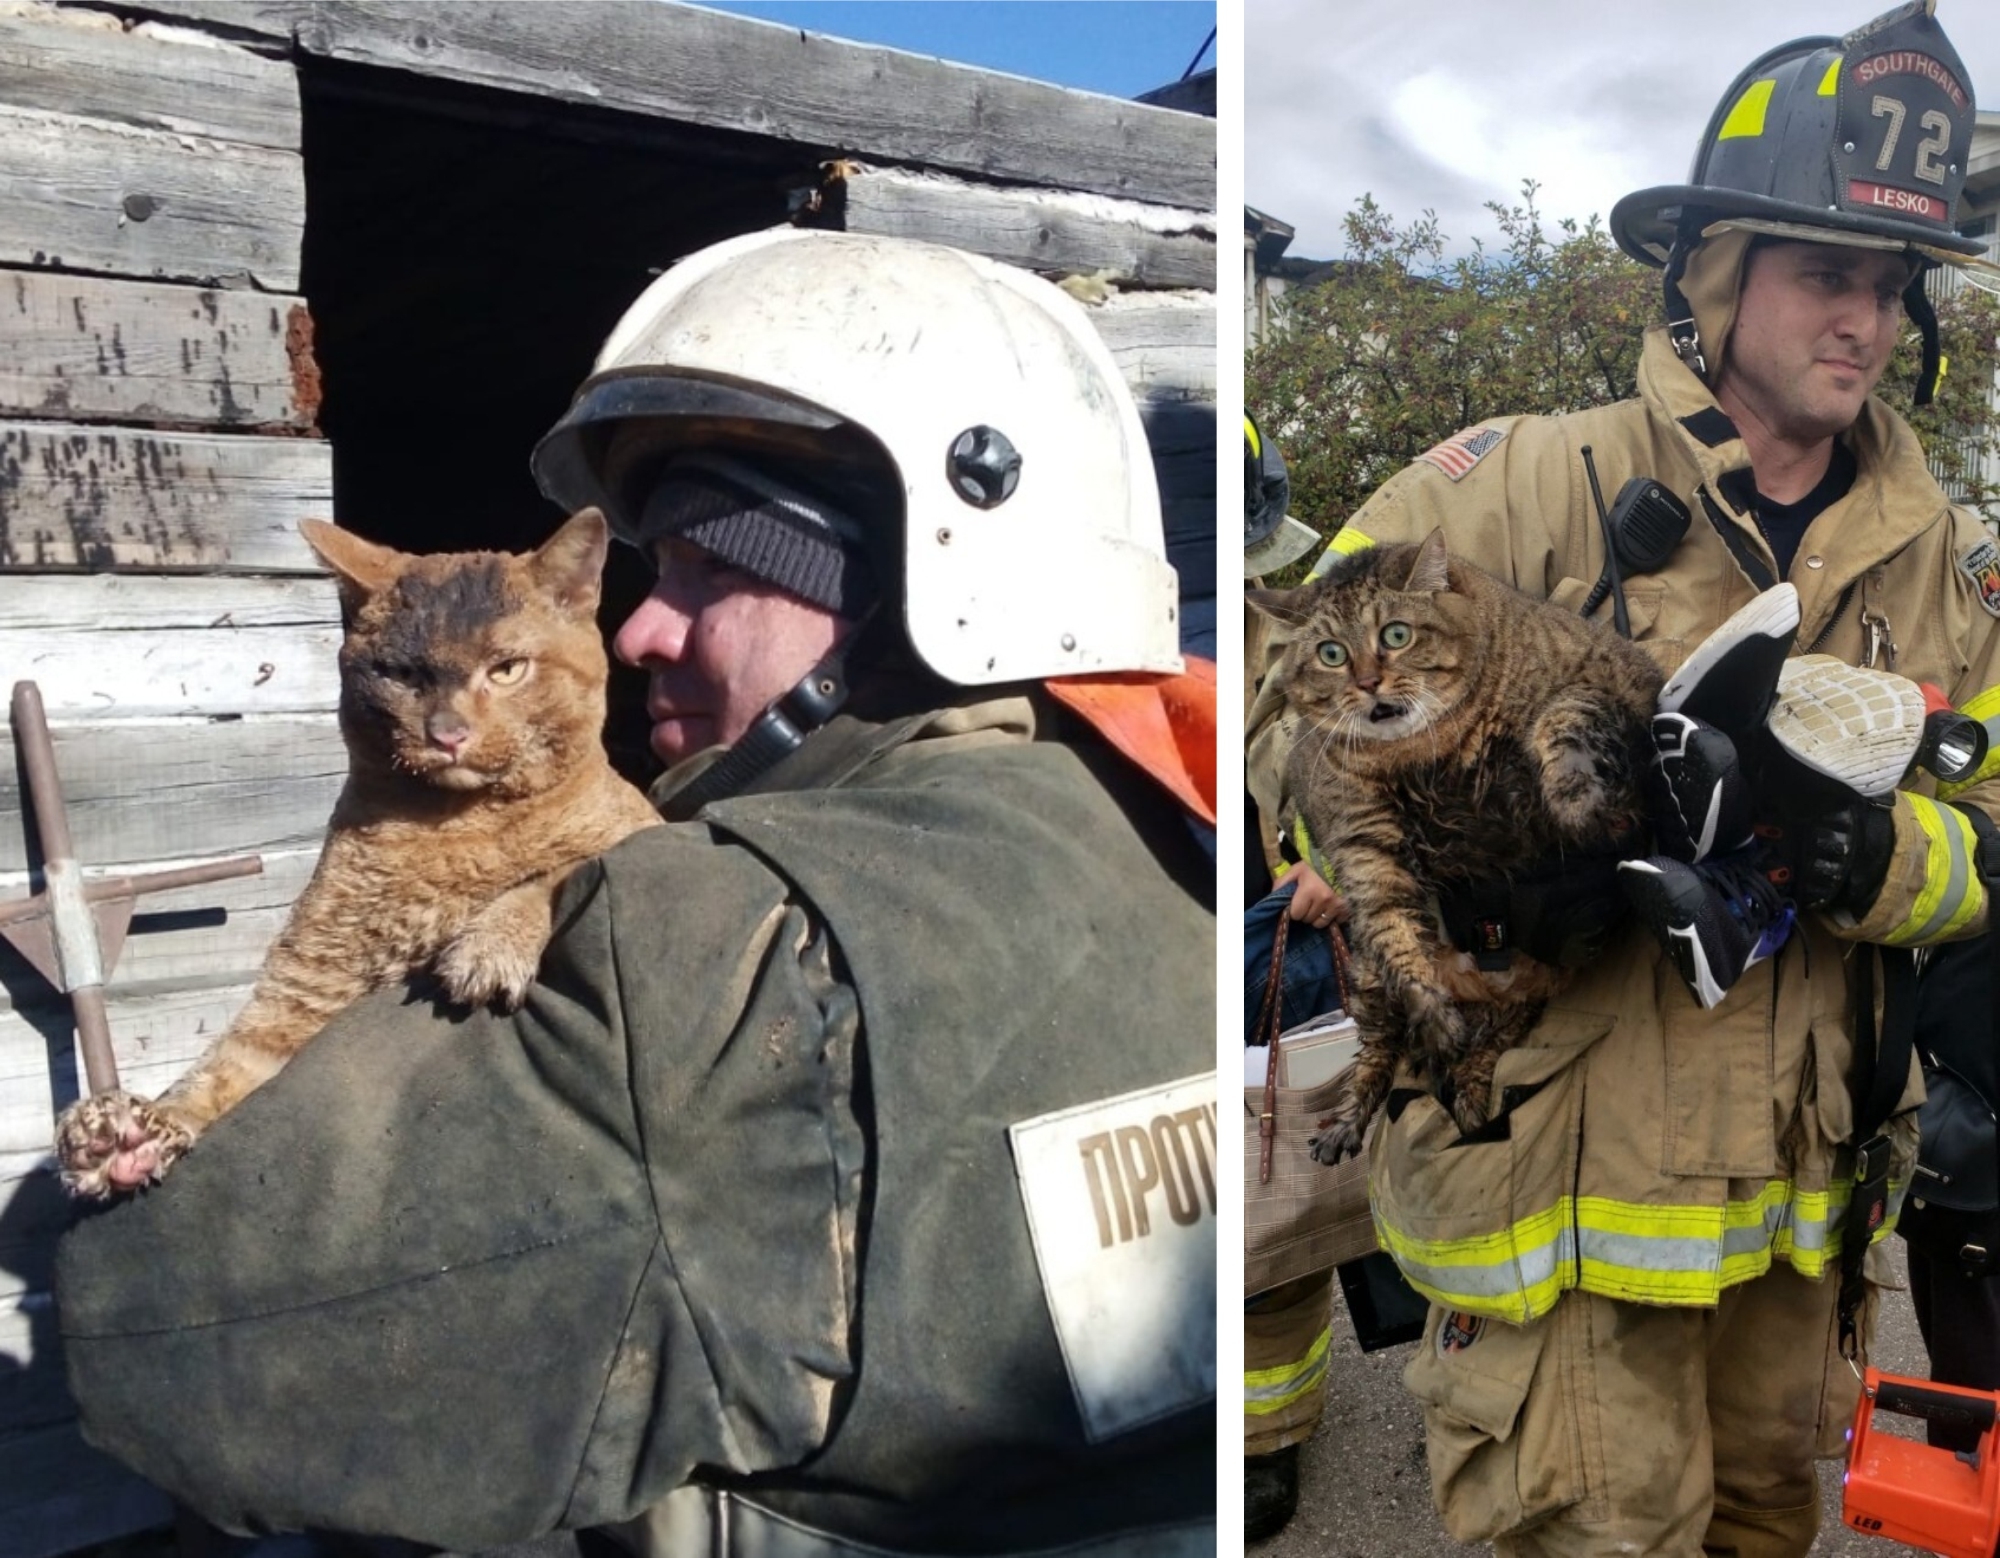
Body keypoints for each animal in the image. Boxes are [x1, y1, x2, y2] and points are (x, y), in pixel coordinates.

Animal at [54, 506, 660, 1200]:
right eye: (403, 674)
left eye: (507, 669)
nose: (448, 734)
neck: (454, 829)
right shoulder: (304, 992)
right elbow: (222, 1072)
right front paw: (127, 1135)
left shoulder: (643, 825)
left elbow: (554, 870)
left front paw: (490, 944)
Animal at [1256, 532, 1664, 1160]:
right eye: (1331, 654)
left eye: (1396, 635)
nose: (1367, 683)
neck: (1427, 749)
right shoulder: (1360, 839)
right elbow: (1395, 934)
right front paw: (1431, 1009)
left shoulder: (1607, 677)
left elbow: (1564, 718)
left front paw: (1577, 801)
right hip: (1368, 986)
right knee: (1379, 1055)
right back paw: (1349, 1121)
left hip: (1527, 995)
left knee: (1489, 1051)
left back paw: (1471, 1092)